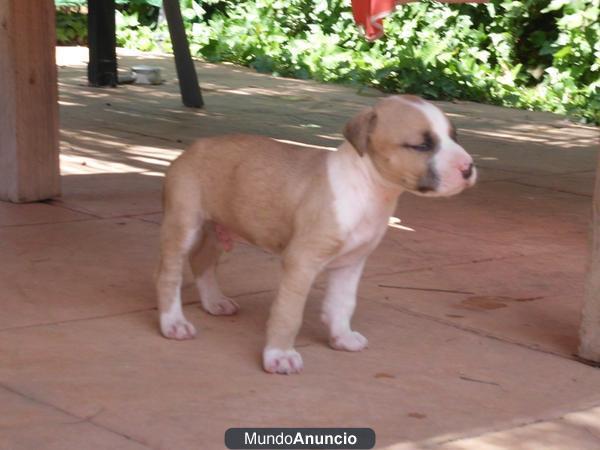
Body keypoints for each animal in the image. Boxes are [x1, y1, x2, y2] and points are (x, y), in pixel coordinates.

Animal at [157, 96, 476, 374]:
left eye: (454, 136)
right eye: (422, 145)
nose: (469, 167)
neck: (368, 188)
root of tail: (191, 148)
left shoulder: (351, 263)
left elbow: (343, 303)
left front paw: (342, 337)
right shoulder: (301, 262)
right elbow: (288, 313)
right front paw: (280, 355)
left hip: (216, 226)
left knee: (202, 261)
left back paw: (214, 302)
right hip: (184, 224)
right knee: (169, 275)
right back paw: (173, 323)